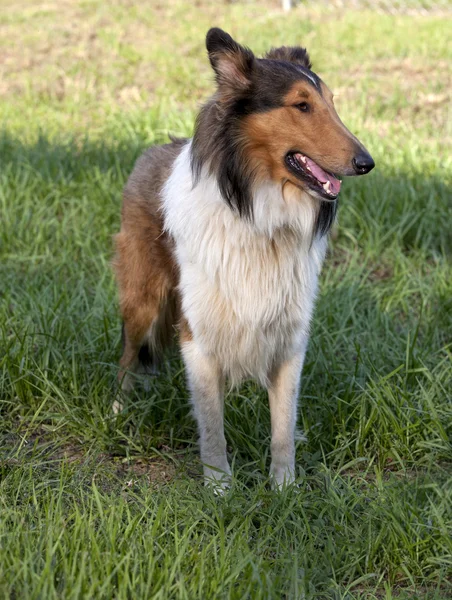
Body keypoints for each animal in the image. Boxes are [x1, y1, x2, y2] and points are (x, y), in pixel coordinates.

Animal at [114, 25, 374, 490]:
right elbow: (212, 423)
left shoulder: (290, 337)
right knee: (128, 356)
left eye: (331, 102)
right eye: (301, 105)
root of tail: (150, 150)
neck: (261, 216)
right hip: (143, 299)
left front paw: (284, 488)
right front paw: (220, 487)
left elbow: (283, 425)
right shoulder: (198, 337)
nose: (367, 163)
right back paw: (119, 414)